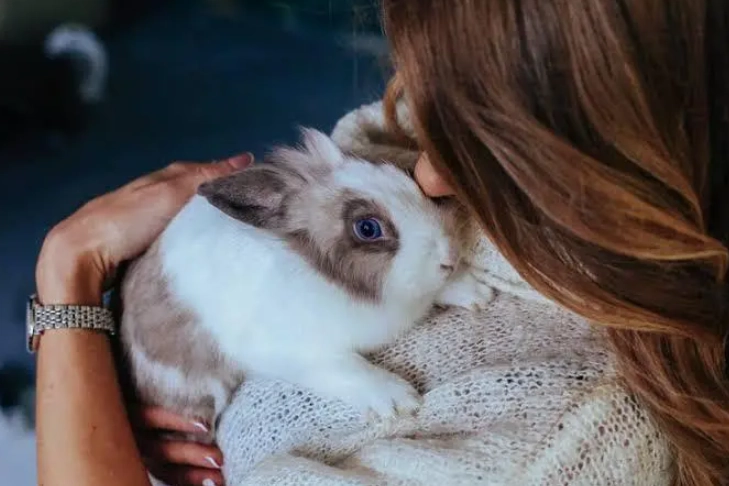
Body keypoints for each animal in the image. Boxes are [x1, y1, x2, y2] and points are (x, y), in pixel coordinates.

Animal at [120, 129, 494, 443]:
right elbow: (345, 367)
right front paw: (398, 399)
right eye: (368, 228)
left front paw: (474, 290)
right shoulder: (288, 350)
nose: (449, 255)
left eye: (404, 176)